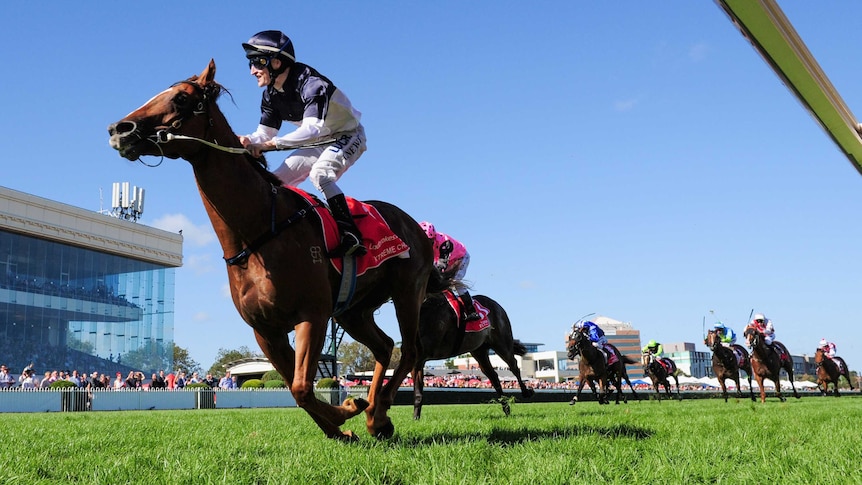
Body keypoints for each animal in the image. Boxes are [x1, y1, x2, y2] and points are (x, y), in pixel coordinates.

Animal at [108, 60, 452, 438]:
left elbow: (302, 386)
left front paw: (347, 410)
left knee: (410, 350)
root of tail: (416, 227)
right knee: (385, 345)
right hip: (354, 310)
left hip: (406, 291)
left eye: (182, 98)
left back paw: (378, 411)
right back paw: (376, 413)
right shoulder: (265, 330)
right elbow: (295, 389)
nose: (119, 129)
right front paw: (342, 422)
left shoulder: (312, 315)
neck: (257, 236)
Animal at [414, 292, 540, 420]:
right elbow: (418, 391)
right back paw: (506, 407)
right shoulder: (418, 360)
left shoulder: (422, 355)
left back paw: (526, 392)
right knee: (493, 376)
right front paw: (416, 418)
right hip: (480, 352)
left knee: (514, 367)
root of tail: (497, 305)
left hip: (502, 344)